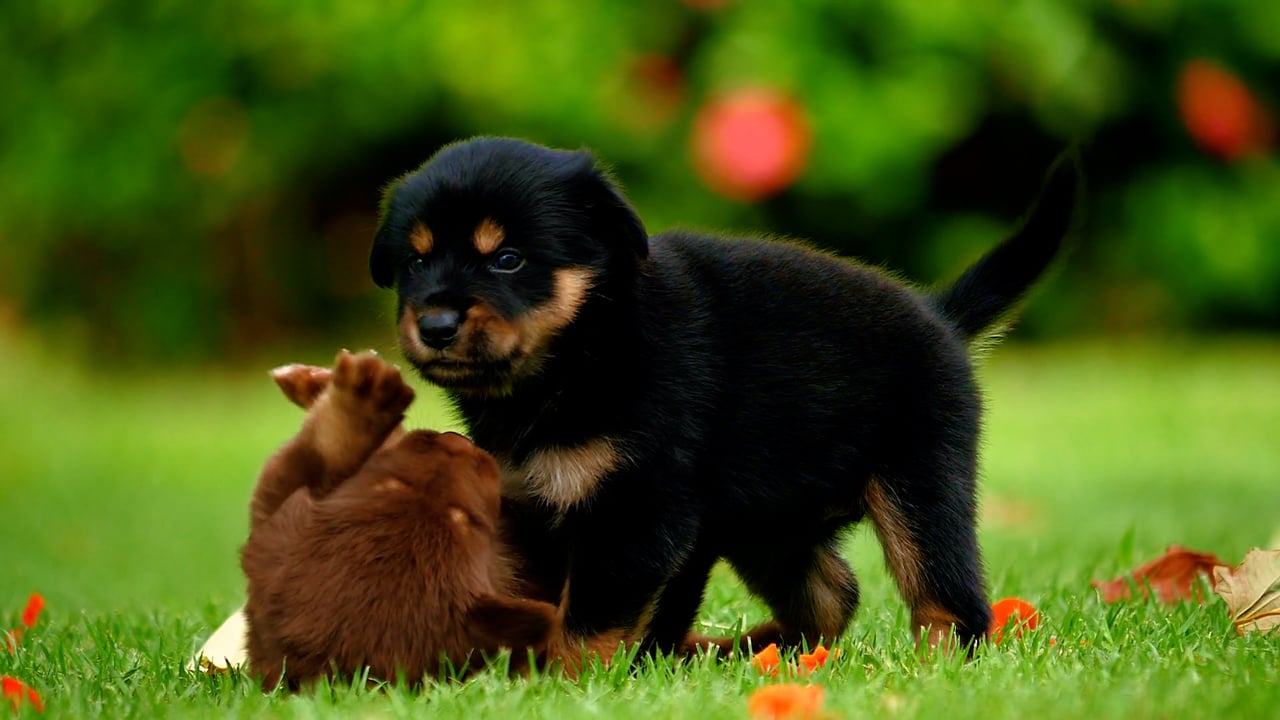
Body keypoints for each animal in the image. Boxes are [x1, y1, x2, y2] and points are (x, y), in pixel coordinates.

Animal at [368, 134, 1080, 661]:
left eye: (508, 259)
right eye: (415, 263)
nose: (435, 325)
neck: (585, 347)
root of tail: (940, 315)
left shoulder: (639, 512)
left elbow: (586, 621)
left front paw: (562, 684)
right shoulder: (534, 507)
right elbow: (540, 603)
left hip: (919, 484)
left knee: (950, 601)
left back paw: (931, 667)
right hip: (767, 524)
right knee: (834, 592)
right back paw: (750, 649)